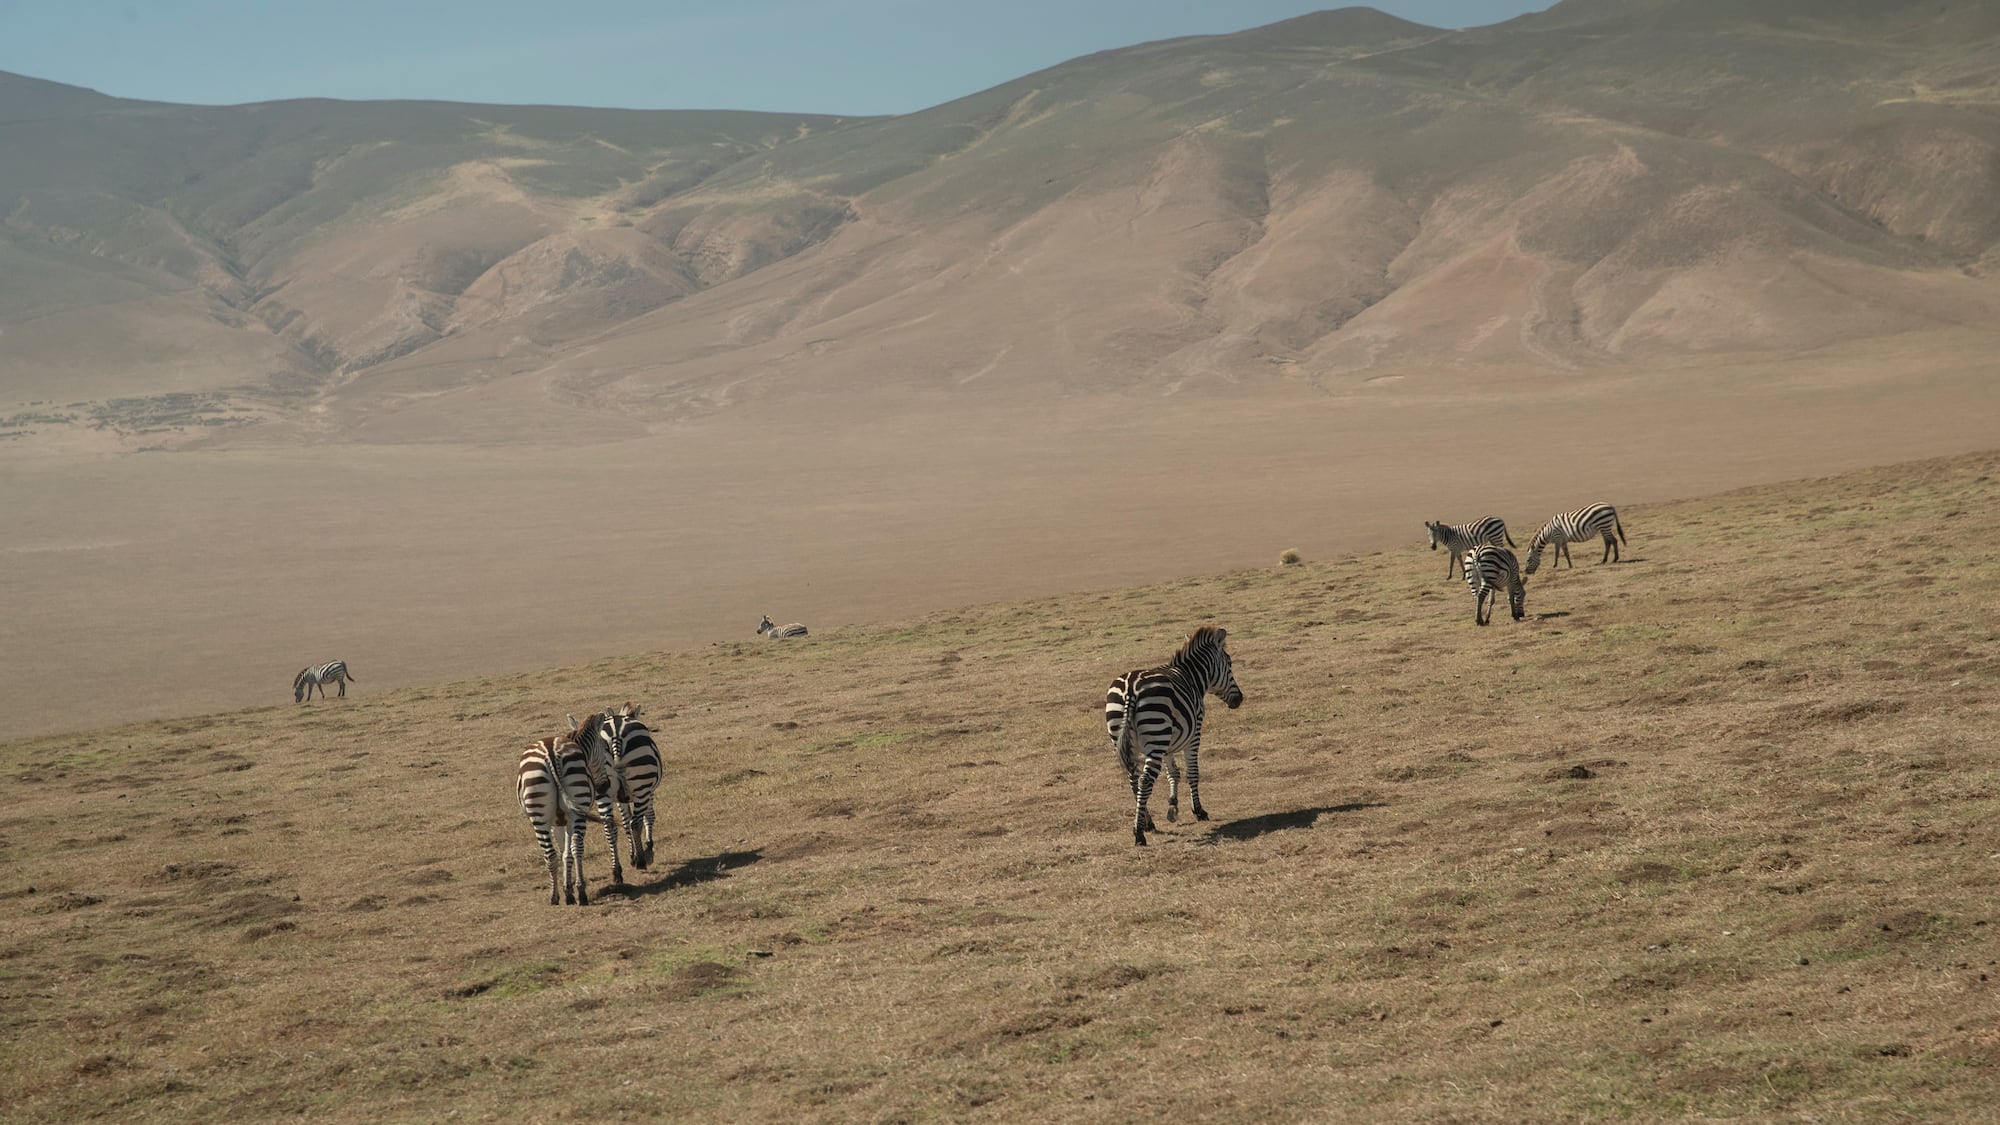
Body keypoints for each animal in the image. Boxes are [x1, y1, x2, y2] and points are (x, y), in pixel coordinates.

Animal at [517, 731, 597, 905]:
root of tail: (551, 753)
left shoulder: (555, 824)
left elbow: (561, 852)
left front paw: (566, 891)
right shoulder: (565, 821)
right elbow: (567, 854)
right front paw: (570, 891)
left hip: (539, 817)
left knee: (550, 855)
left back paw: (554, 897)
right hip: (578, 804)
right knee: (577, 847)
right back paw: (582, 892)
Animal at [571, 702, 663, 871]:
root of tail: (616, 734)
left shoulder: (619, 797)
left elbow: (625, 822)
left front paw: (633, 855)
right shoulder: (649, 791)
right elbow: (648, 816)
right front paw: (648, 849)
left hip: (602, 788)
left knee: (610, 827)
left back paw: (616, 870)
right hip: (641, 784)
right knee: (636, 823)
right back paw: (641, 861)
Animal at [1104, 625, 1245, 846]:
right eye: (1229, 664)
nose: (1239, 699)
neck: (1191, 677)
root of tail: (1129, 689)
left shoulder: (1168, 742)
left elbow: (1174, 773)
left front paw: (1173, 807)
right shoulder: (1194, 734)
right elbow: (1192, 772)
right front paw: (1198, 811)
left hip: (1126, 735)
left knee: (1133, 780)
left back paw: (1147, 823)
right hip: (1156, 733)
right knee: (1145, 780)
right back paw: (1139, 833)